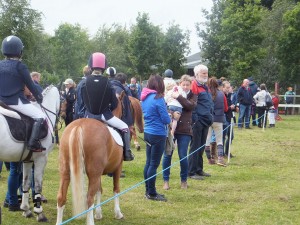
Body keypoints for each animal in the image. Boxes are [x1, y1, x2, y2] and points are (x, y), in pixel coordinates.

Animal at [0, 85, 60, 222]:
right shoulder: (41, 159)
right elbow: (38, 186)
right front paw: (39, 213)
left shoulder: (27, 160)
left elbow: (25, 183)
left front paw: (26, 210)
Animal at [56, 93, 124, 225]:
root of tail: (79, 125)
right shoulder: (118, 167)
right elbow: (116, 189)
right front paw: (118, 213)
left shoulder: (98, 174)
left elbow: (99, 190)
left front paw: (98, 213)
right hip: (94, 173)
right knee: (89, 199)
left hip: (66, 170)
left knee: (61, 197)